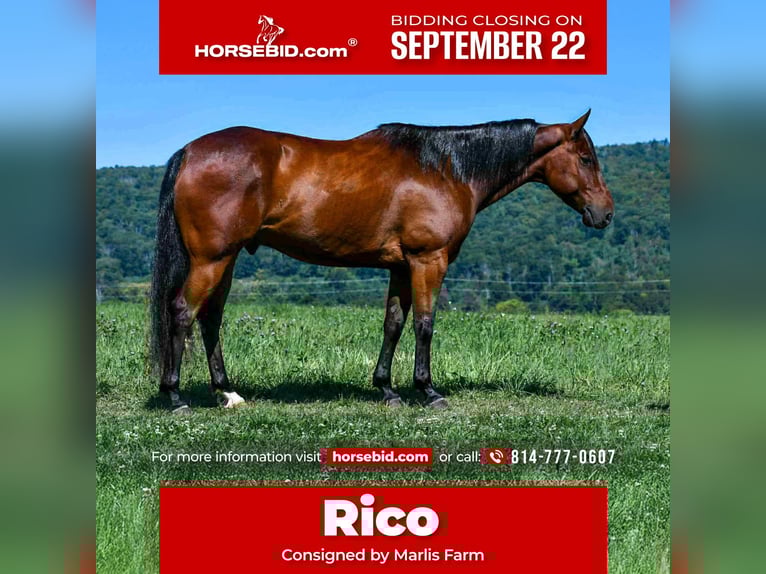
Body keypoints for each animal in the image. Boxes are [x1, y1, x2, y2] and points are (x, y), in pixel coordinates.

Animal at [149, 110, 614, 413]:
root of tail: (190, 152)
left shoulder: (400, 267)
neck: (446, 169)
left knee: (209, 319)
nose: (605, 214)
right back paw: (175, 397)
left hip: (225, 261)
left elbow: (393, 324)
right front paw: (428, 391)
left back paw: (227, 393)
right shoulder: (428, 261)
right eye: (585, 159)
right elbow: (425, 324)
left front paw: (387, 390)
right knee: (182, 312)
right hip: (211, 259)